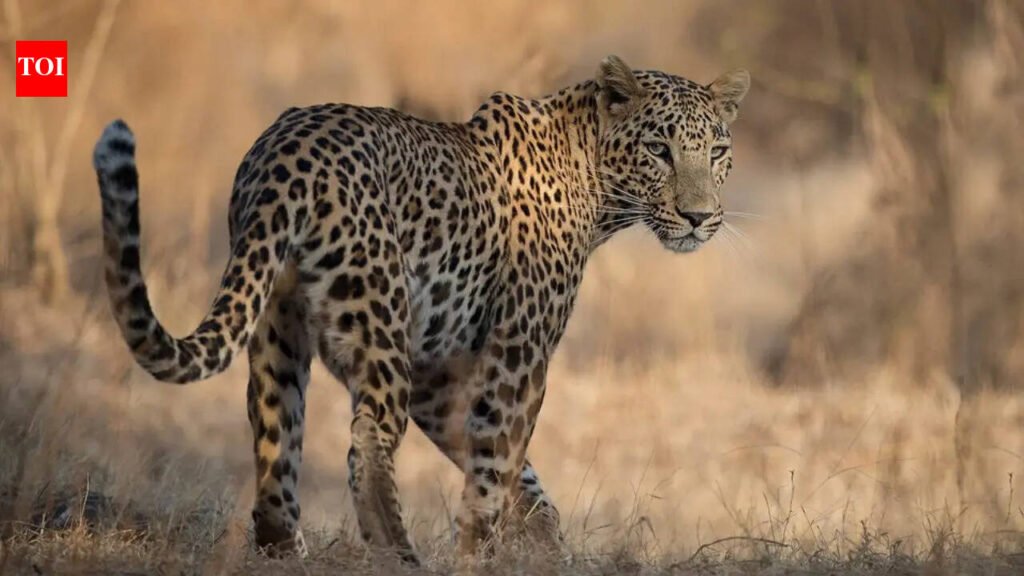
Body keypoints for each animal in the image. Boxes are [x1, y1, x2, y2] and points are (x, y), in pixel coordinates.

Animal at [92, 55, 749, 564]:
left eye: (718, 150)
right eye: (659, 150)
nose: (698, 217)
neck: (595, 184)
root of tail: (283, 153)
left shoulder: (441, 373)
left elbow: (518, 478)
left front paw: (544, 549)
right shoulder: (518, 353)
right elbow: (497, 465)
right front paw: (482, 555)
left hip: (276, 324)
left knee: (276, 444)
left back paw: (286, 553)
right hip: (379, 319)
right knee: (367, 445)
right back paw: (400, 558)